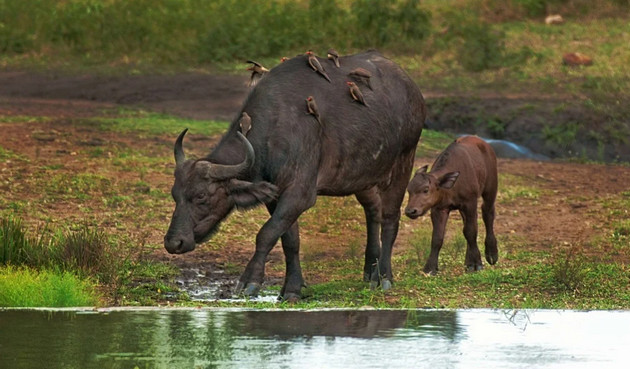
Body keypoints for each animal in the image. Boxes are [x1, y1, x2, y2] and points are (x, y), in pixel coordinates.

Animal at [165, 51, 428, 300]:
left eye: (201, 196)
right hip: (363, 175)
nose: (174, 242)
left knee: (390, 218)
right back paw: (370, 270)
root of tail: (411, 88)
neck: (275, 129)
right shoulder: (275, 195)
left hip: (404, 161)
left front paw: (250, 281)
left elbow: (266, 234)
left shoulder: (299, 194)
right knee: (373, 210)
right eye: (175, 195)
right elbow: (289, 240)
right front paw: (292, 288)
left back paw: (384, 277)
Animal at [408, 135, 502, 274]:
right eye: (408, 190)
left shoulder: (470, 203)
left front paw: (476, 264)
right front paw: (430, 268)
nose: (410, 211)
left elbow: (470, 231)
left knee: (487, 213)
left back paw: (491, 254)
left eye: (425, 190)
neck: (452, 187)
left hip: (490, 188)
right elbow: (437, 237)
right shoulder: (438, 209)